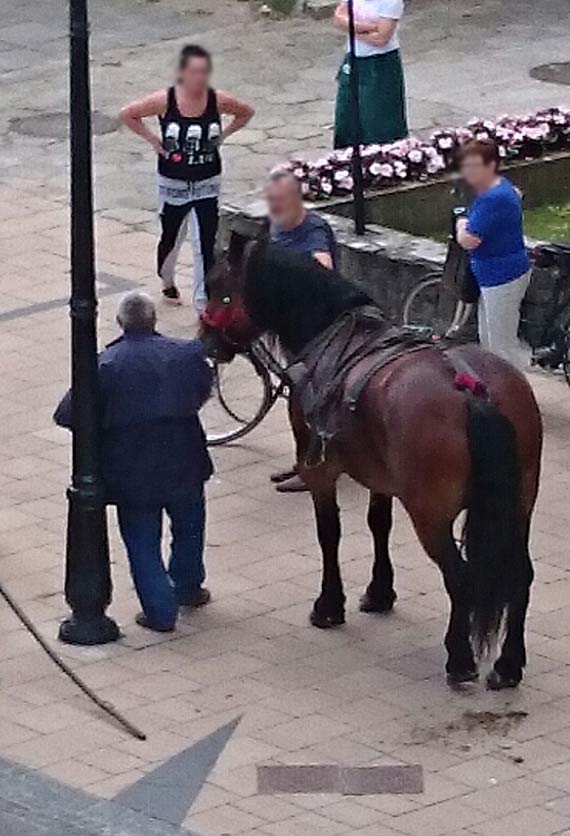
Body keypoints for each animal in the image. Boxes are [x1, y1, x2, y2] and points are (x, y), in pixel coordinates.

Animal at [201, 233, 540, 684]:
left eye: (217, 286)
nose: (206, 341)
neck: (331, 328)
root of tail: (473, 390)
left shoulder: (318, 468)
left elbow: (329, 533)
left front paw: (329, 606)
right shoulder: (381, 477)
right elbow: (379, 524)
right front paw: (380, 592)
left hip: (431, 514)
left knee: (459, 576)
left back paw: (460, 659)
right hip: (519, 504)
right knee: (521, 575)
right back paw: (508, 663)